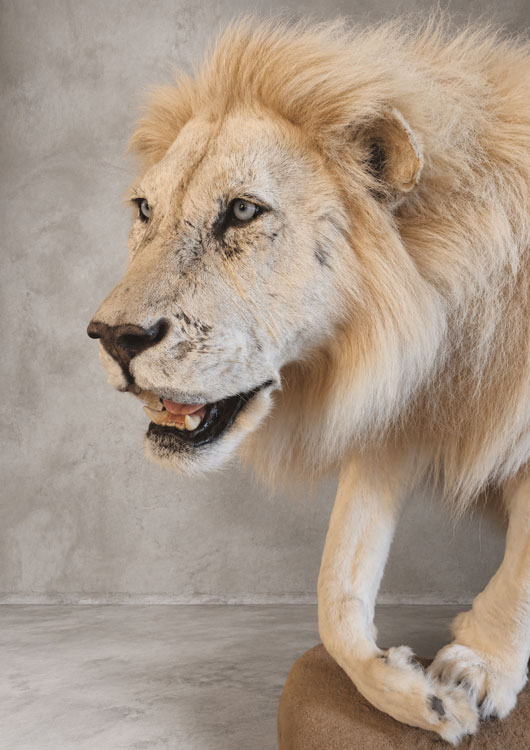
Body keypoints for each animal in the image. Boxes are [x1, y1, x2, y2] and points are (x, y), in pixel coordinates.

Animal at [87, 16, 530, 743]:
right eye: (145, 208)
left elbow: (521, 565)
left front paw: (477, 667)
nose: (113, 337)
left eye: (242, 211)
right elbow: (335, 589)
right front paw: (418, 694)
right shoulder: (397, 414)